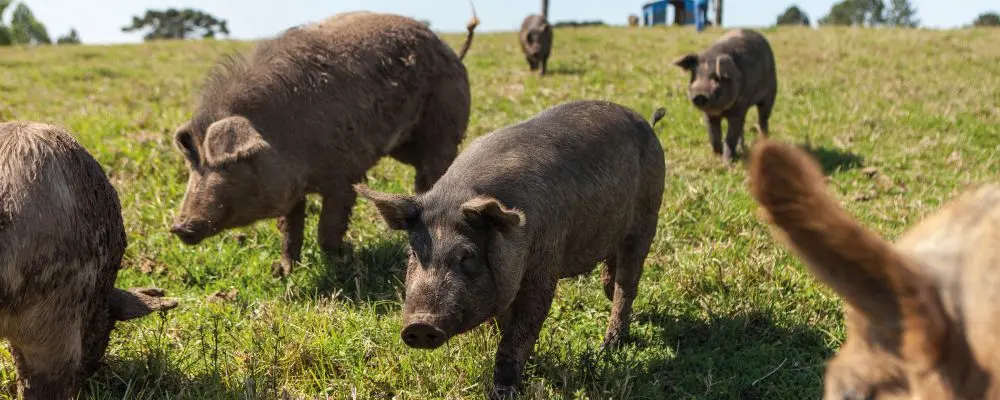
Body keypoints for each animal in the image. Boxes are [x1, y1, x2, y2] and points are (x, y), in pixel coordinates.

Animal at [170, 9, 480, 277]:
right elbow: (290, 229)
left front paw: (345, 257)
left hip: (444, 126)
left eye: (225, 164)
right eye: (192, 166)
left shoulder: (343, 175)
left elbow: (328, 229)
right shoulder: (292, 191)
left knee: (434, 170)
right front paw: (281, 272)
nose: (179, 227)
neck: (280, 137)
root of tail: (450, 50)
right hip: (404, 146)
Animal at [356, 100, 667, 398]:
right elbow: (504, 326)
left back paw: (609, 345)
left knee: (627, 284)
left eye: (467, 255)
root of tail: (645, 123)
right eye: (413, 253)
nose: (420, 325)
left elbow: (522, 329)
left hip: (648, 216)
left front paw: (501, 393)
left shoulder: (544, 264)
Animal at [673, 29, 777, 165]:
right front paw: (719, 154)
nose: (700, 93)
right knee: (743, 128)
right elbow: (714, 137)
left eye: (717, 78)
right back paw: (742, 149)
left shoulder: (739, 108)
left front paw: (727, 163)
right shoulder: (709, 115)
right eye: (694, 77)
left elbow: (730, 137)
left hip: (771, 94)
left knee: (763, 121)